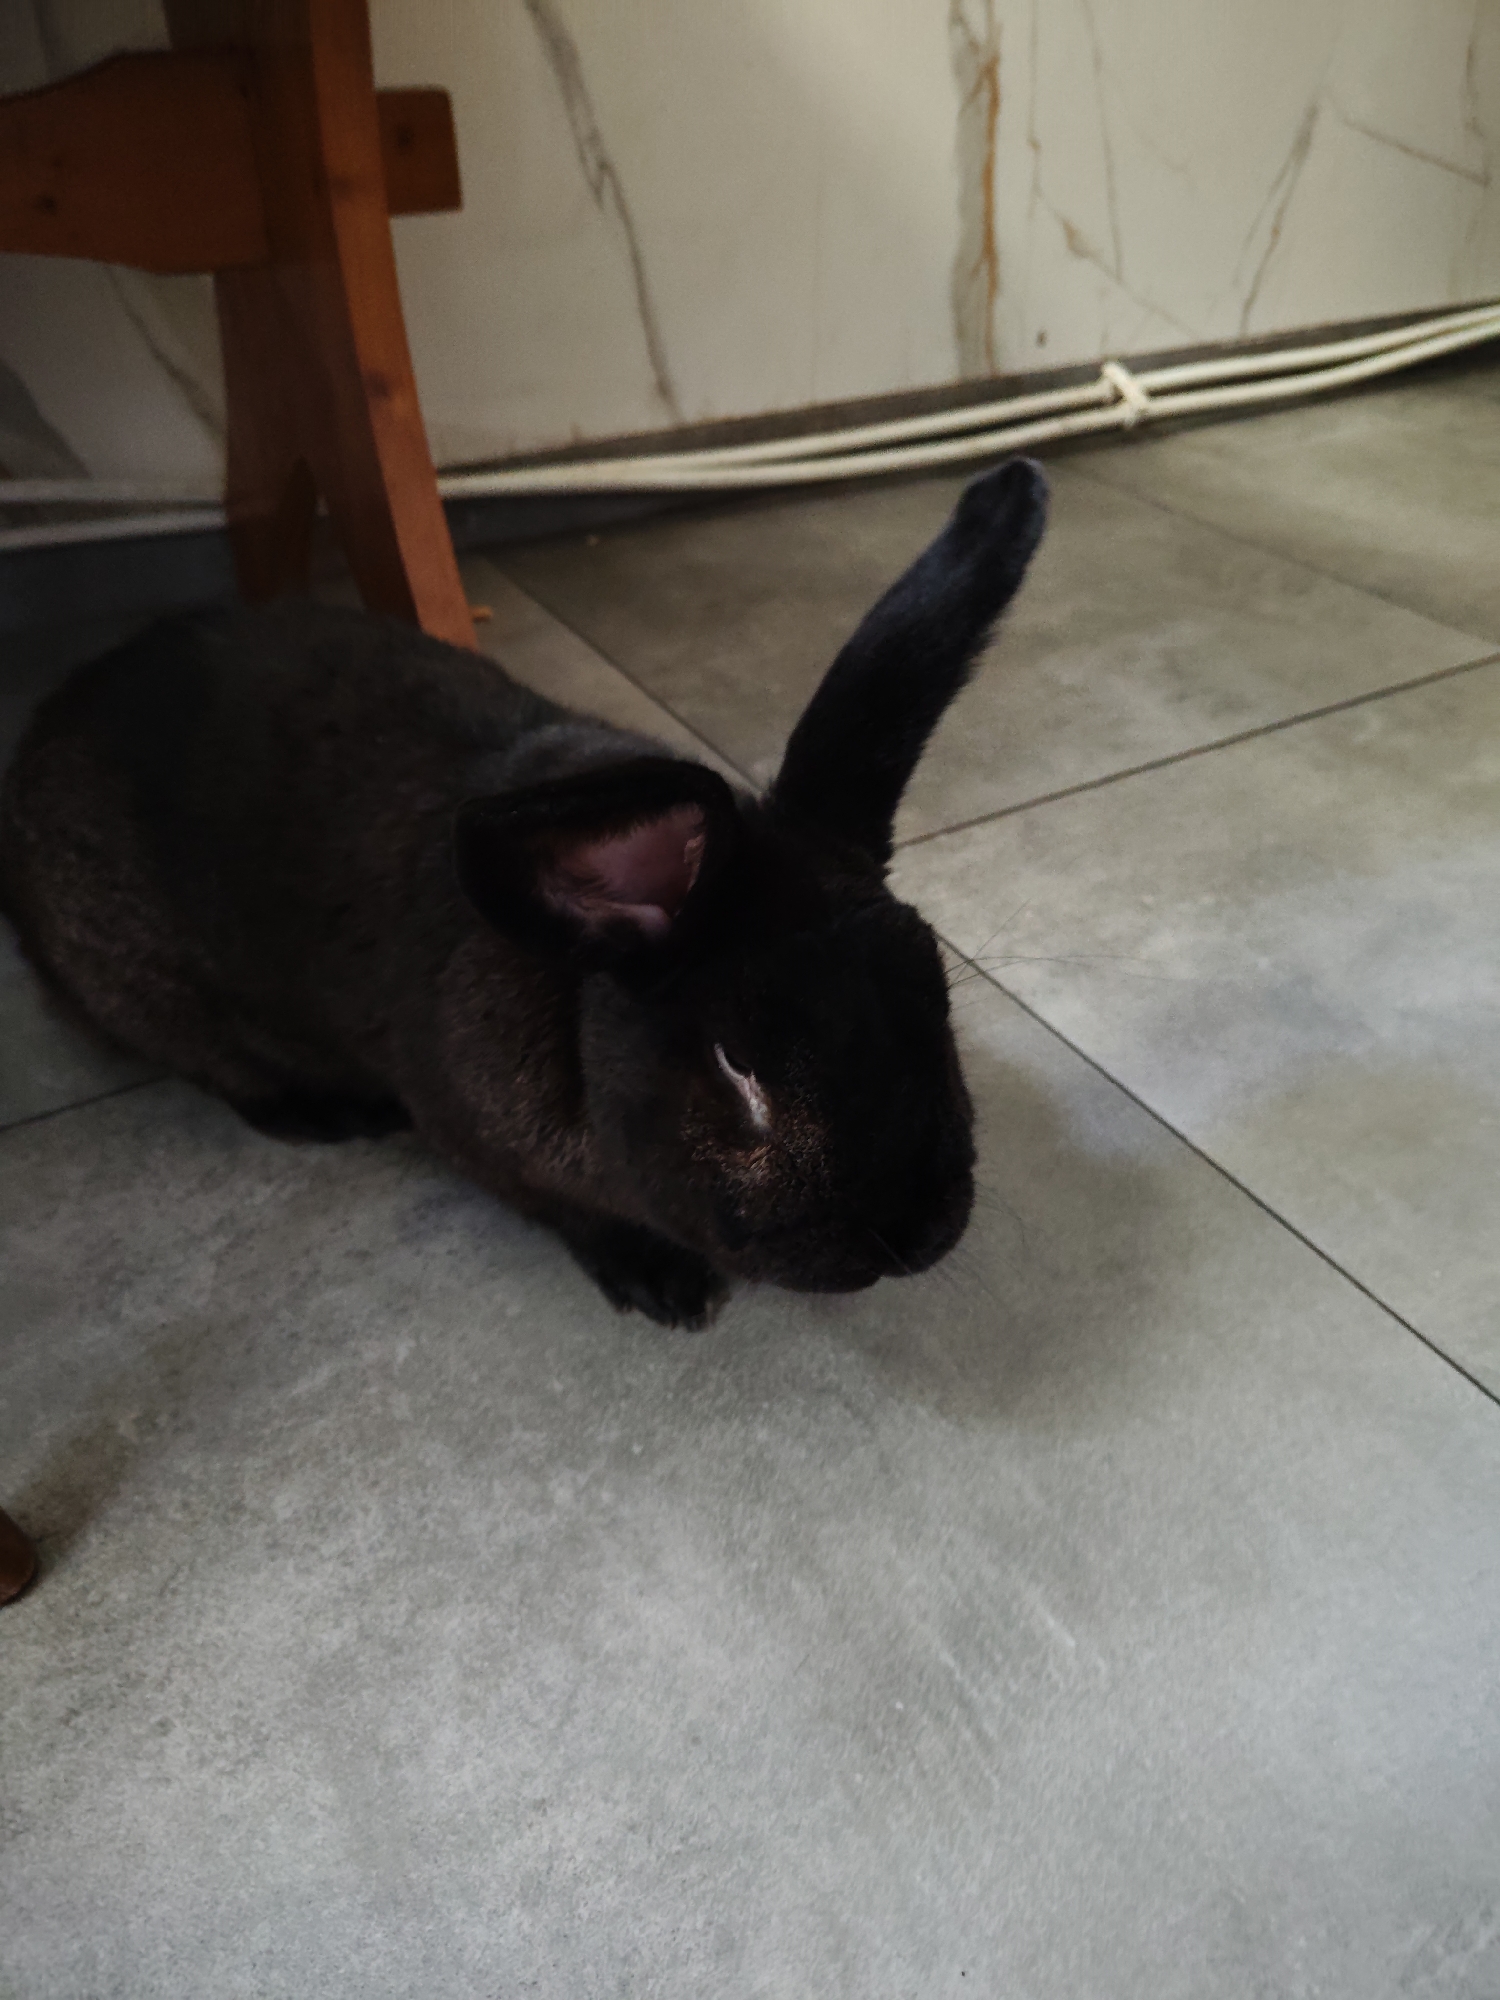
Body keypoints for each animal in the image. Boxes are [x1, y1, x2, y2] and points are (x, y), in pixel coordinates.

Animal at [0, 458, 1047, 1328]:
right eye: (737, 1067)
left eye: (938, 994)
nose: (912, 1236)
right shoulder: (474, 1139)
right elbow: (563, 1213)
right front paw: (668, 1290)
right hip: (154, 991)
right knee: (222, 1072)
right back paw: (333, 1115)